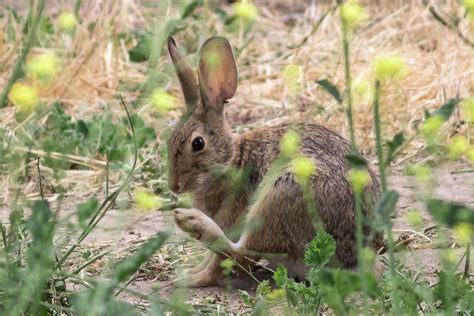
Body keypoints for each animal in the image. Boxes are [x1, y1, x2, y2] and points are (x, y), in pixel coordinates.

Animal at [167, 35, 386, 288]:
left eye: (198, 143)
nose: (174, 186)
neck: (232, 161)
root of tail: (355, 258)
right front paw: (192, 269)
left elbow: (222, 261)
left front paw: (195, 276)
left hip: (282, 196)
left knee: (241, 253)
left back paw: (191, 227)